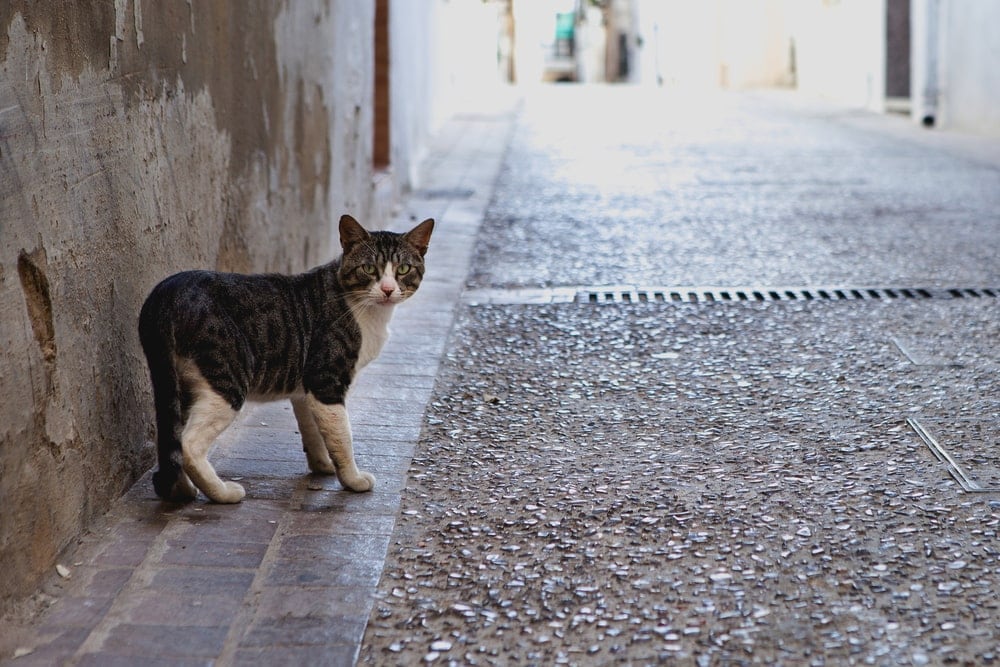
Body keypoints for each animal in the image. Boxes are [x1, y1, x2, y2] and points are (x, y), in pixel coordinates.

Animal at [138, 217, 434, 504]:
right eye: (369, 269)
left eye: (403, 269)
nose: (388, 289)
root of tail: (166, 292)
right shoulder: (326, 379)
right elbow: (342, 435)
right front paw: (352, 479)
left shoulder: (306, 389)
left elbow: (315, 430)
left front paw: (324, 465)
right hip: (226, 379)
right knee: (189, 443)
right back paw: (222, 493)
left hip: (176, 384)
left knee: (172, 437)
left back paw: (181, 490)